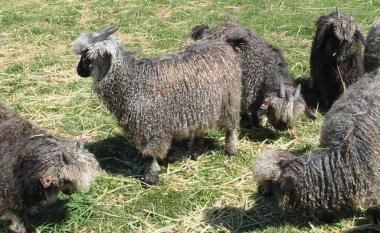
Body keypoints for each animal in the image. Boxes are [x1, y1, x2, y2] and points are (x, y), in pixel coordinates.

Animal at [73, 25, 242, 186]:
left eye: (87, 56)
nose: (78, 71)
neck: (132, 81)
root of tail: (222, 43)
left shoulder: (151, 128)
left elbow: (151, 154)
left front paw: (151, 177)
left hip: (229, 101)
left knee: (231, 128)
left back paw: (231, 150)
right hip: (200, 106)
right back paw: (195, 150)